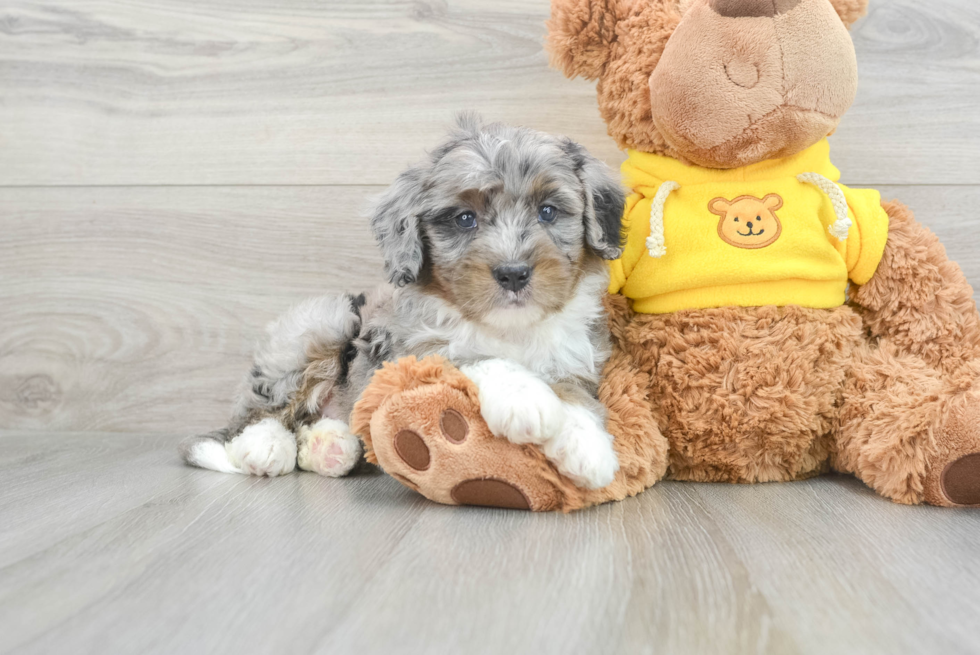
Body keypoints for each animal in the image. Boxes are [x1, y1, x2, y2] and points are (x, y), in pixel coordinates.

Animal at [182, 115, 628, 490]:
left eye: (548, 212)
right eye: (464, 219)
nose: (513, 273)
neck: (509, 327)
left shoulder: (577, 362)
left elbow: (576, 396)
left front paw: (588, 446)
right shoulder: (412, 354)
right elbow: (474, 357)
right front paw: (526, 398)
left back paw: (332, 446)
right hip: (322, 325)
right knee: (260, 411)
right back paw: (263, 446)